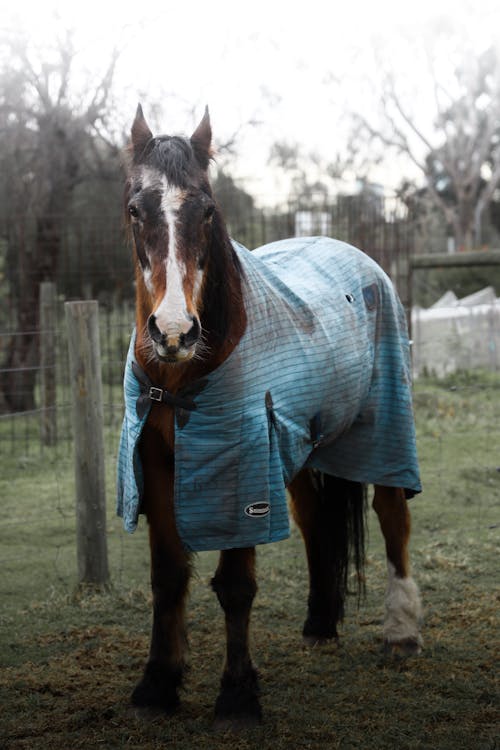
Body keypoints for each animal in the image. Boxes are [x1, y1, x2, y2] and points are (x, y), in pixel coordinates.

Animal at [118, 107, 422, 728]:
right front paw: (157, 685)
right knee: (314, 520)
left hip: (384, 427)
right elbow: (168, 576)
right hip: (304, 448)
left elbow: (235, 585)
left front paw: (237, 696)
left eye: (207, 209)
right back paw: (320, 625)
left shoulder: (242, 463)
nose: (174, 332)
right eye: (136, 209)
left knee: (391, 515)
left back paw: (402, 633)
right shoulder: (156, 463)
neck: (178, 381)